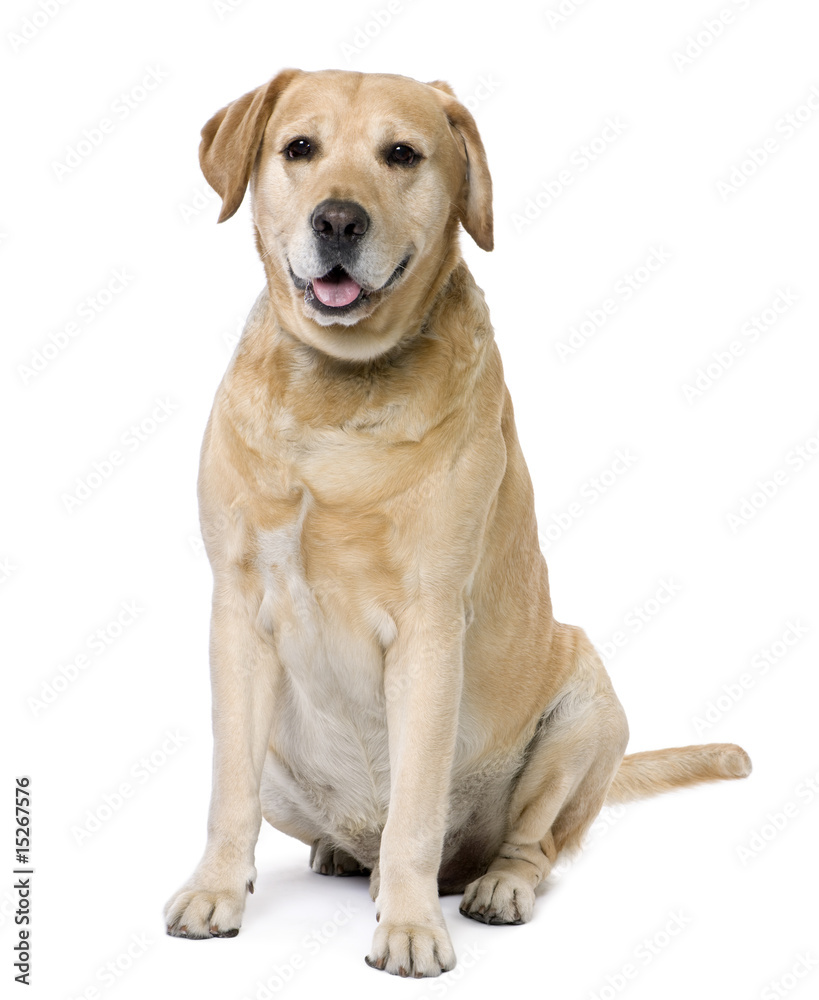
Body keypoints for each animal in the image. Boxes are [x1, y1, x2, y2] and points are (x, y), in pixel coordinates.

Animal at [163, 70, 752, 976]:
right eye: (299, 148)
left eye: (402, 154)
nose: (338, 220)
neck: (342, 388)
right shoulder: (236, 612)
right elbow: (228, 790)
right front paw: (216, 890)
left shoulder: (430, 625)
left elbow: (415, 809)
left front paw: (409, 927)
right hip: (287, 771)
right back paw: (342, 854)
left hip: (587, 708)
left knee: (530, 845)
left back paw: (489, 887)